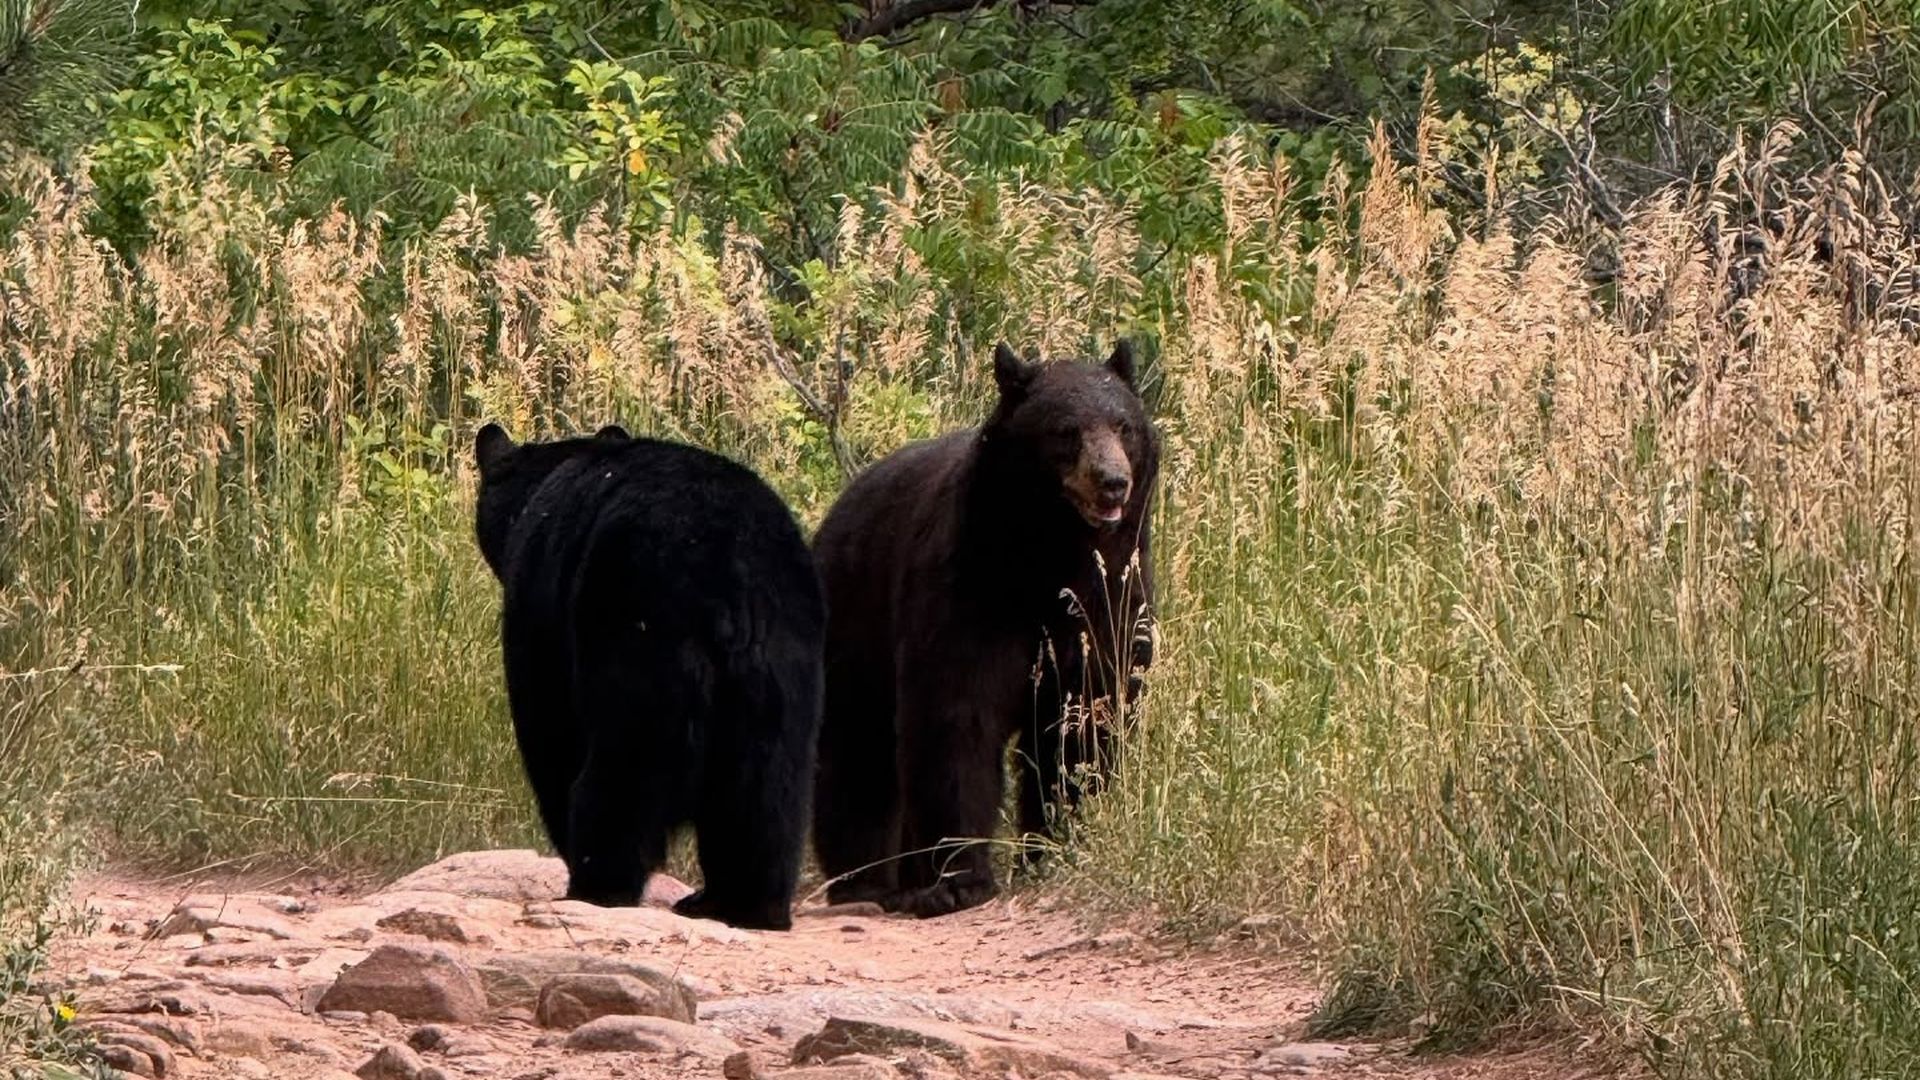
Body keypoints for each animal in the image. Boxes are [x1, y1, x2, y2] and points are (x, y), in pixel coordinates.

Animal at [472, 421, 825, 931]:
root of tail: (730, 574)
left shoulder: (538, 602)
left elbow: (548, 730)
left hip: (637, 636)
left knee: (622, 771)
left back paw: (598, 887)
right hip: (783, 659)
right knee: (768, 789)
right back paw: (744, 904)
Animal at [809, 341, 1159, 918]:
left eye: (1123, 424)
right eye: (1066, 430)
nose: (1113, 481)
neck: (1050, 558)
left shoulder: (1111, 602)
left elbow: (1084, 723)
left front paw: (1058, 848)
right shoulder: (968, 590)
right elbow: (956, 718)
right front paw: (961, 878)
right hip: (856, 623)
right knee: (859, 746)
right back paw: (864, 880)